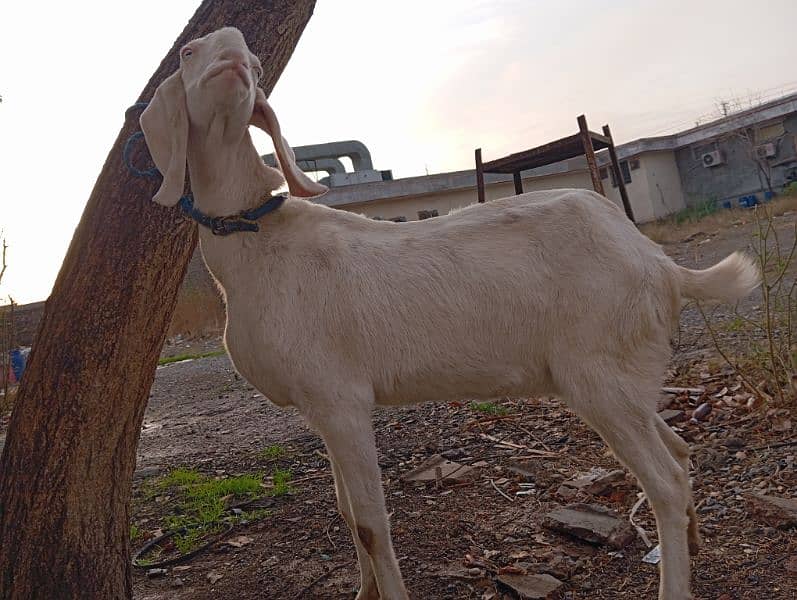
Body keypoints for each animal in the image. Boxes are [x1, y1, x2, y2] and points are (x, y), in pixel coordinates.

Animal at [140, 27, 756, 600]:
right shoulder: (319, 407)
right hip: (626, 374)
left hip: (598, 373)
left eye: (256, 61)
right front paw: (361, 591)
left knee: (665, 481)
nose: (233, 55)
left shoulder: (342, 400)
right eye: (189, 52)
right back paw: (694, 540)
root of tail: (661, 265)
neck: (256, 238)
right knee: (678, 448)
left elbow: (369, 523)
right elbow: (345, 511)